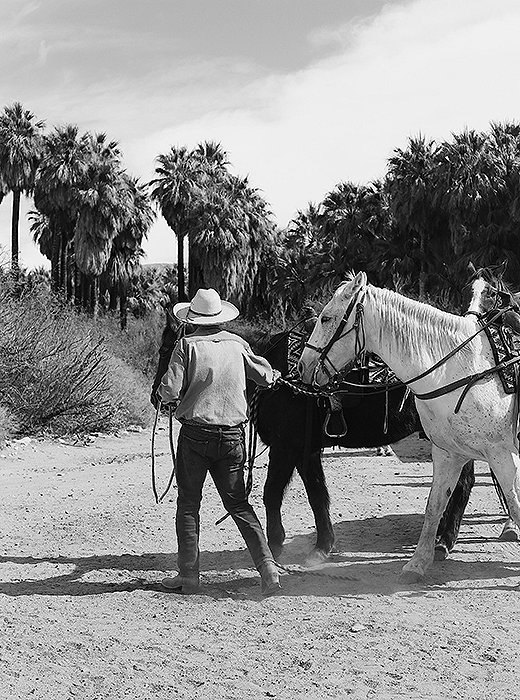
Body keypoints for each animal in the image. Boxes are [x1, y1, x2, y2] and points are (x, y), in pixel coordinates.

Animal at [298, 270, 520, 584]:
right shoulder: (448, 454)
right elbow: (434, 505)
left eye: (327, 318)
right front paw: (418, 562)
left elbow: (514, 502)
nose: (303, 367)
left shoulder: (502, 455)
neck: (465, 369)